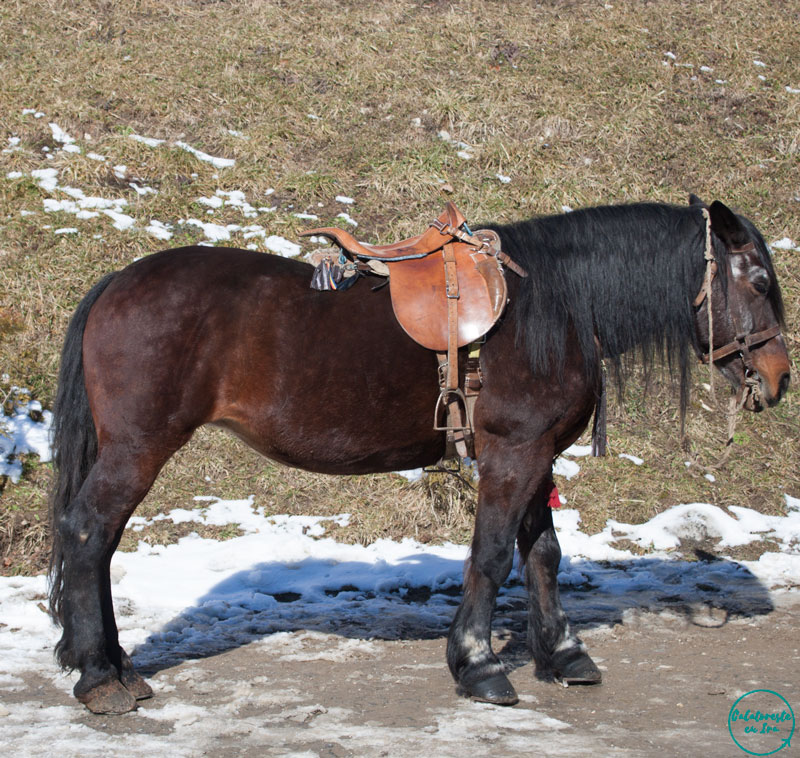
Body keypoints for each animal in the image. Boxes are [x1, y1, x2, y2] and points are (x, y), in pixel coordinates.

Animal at [47, 194, 792, 712]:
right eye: (757, 279)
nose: (780, 376)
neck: (551, 308)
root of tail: (117, 283)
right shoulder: (513, 455)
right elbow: (491, 556)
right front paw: (479, 664)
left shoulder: (537, 456)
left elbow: (543, 555)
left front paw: (563, 655)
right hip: (140, 447)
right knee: (87, 534)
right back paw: (99, 677)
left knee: (99, 543)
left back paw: (115, 666)